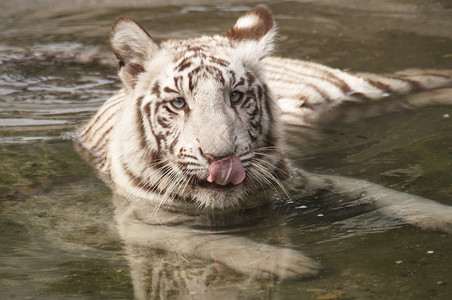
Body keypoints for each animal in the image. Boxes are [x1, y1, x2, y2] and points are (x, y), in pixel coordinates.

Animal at [77, 6, 452, 282]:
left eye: (235, 95)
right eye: (179, 103)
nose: (221, 158)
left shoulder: (302, 180)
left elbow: (378, 191)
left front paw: (441, 216)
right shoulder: (138, 223)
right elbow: (212, 240)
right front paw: (284, 263)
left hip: (360, 88)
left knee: (418, 79)